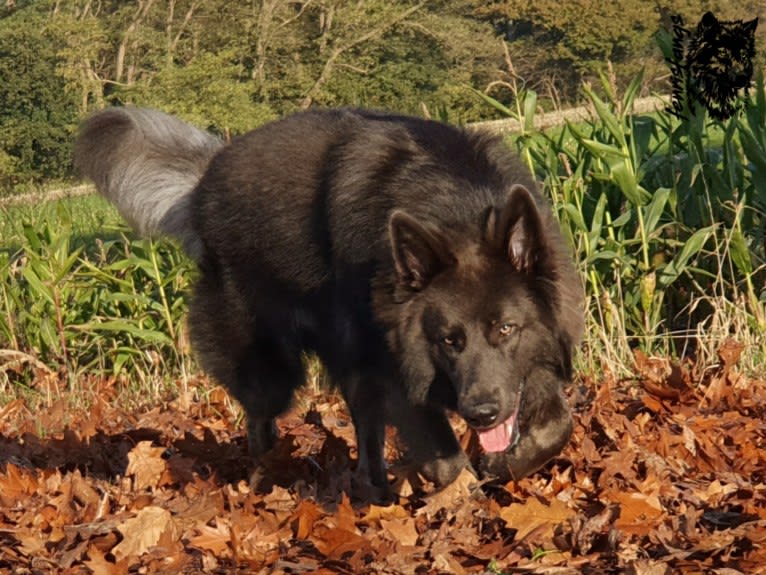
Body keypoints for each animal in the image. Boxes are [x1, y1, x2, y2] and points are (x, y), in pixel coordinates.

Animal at [75, 108, 584, 496]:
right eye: (448, 341)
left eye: (506, 329)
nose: (481, 414)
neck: (453, 207)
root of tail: (207, 175)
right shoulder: (388, 360)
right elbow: (445, 460)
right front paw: (457, 493)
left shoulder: (528, 362)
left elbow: (557, 426)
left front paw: (505, 465)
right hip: (273, 368)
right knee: (261, 420)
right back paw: (268, 479)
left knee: (363, 425)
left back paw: (372, 486)